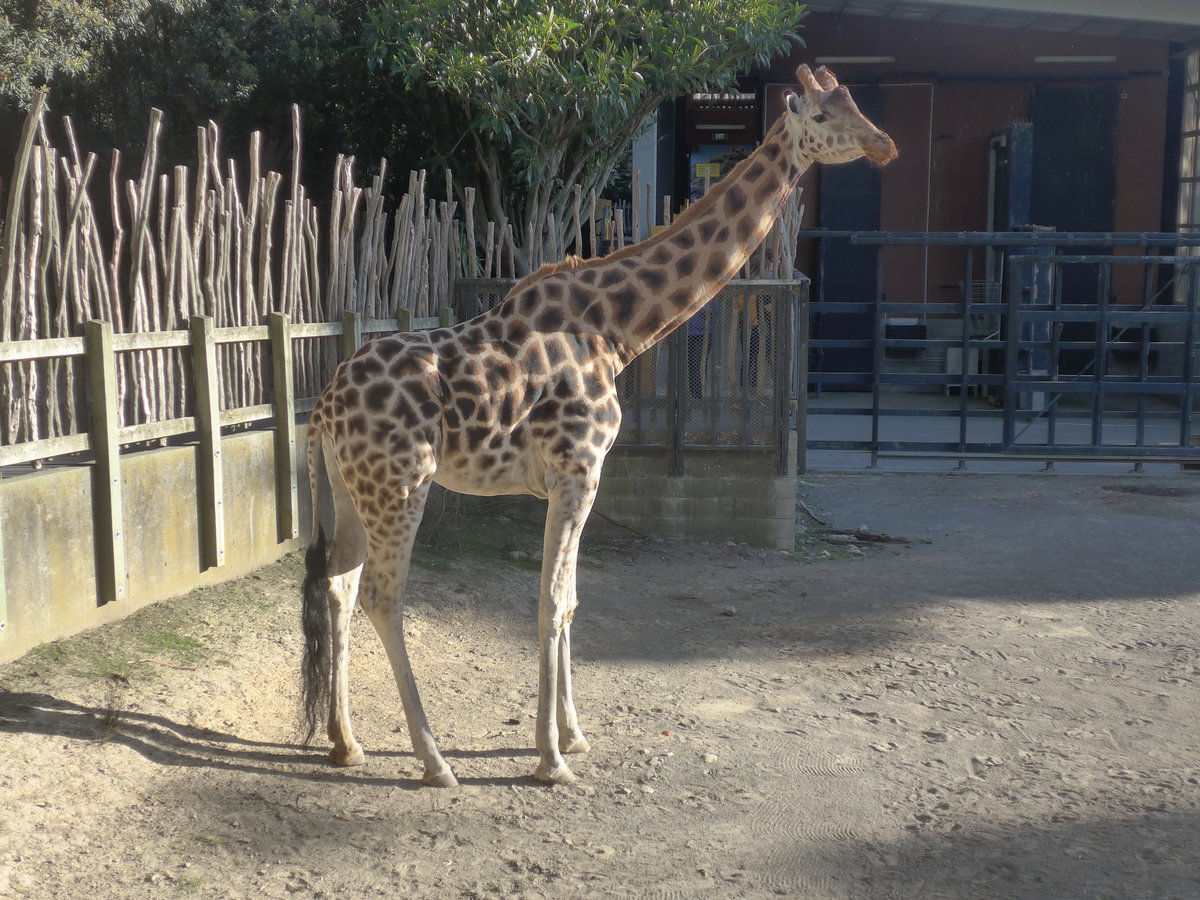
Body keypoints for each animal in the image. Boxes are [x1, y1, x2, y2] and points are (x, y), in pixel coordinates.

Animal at [299, 64, 897, 786]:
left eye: (857, 100)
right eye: (828, 112)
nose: (886, 145)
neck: (617, 329)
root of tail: (323, 408)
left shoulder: (578, 478)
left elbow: (571, 601)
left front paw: (573, 734)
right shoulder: (578, 471)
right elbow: (553, 602)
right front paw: (551, 759)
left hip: (352, 489)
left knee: (338, 583)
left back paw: (346, 743)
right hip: (401, 485)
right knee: (382, 595)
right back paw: (434, 760)